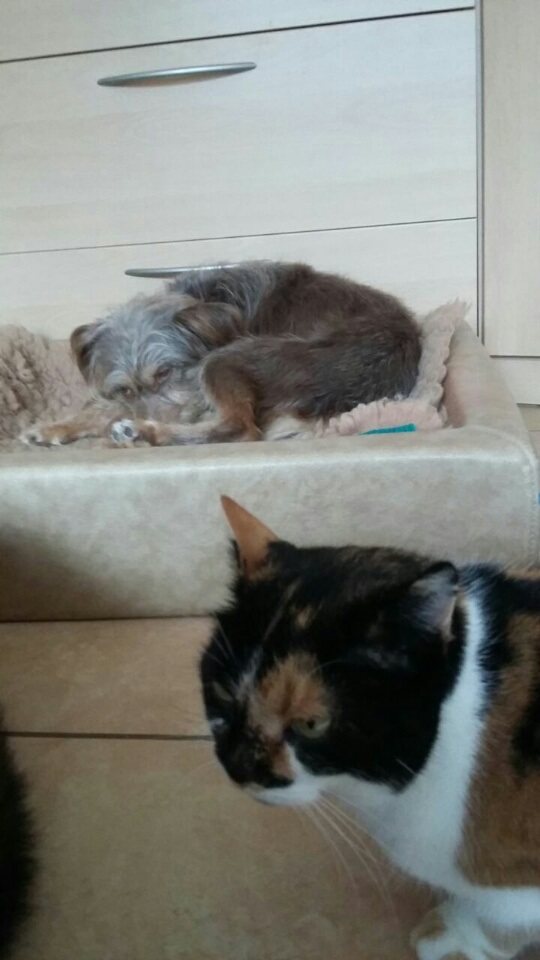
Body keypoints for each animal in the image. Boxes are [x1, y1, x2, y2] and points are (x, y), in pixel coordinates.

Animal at [22, 261, 420, 447]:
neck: (203, 301)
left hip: (229, 359)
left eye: (165, 372)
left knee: (240, 429)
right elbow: (107, 408)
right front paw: (52, 427)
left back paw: (146, 433)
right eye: (125, 388)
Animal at [200, 496, 540, 960]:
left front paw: (450, 938)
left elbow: (497, 920)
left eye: (311, 724)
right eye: (220, 691)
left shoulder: (519, 888)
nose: (238, 766)